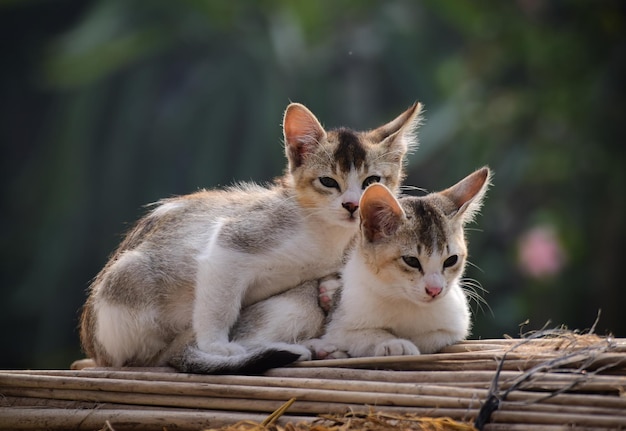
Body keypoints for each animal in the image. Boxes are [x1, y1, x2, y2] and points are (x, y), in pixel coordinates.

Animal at [78, 101, 420, 374]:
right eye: (328, 181)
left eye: (372, 181)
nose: (351, 205)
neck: (323, 232)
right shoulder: (231, 241)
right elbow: (219, 304)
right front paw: (216, 346)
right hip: (128, 280)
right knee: (155, 356)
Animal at [306, 167, 488, 360]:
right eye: (411, 261)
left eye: (451, 260)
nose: (435, 290)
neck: (403, 300)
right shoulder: (340, 324)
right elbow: (361, 335)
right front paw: (394, 343)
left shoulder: (455, 325)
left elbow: (431, 337)